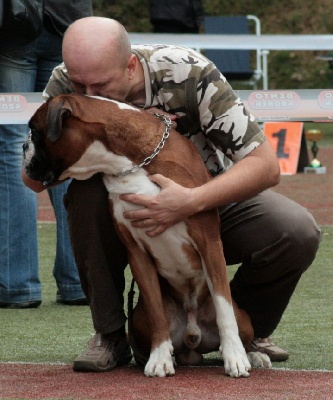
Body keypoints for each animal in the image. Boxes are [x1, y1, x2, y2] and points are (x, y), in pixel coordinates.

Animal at [22, 94, 270, 378]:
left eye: (36, 132)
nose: (23, 146)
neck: (132, 163)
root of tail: (193, 336)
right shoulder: (138, 254)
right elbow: (155, 310)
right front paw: (160, 358)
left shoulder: (209, 244)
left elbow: (223, 307)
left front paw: (234, 357)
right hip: (138, 322)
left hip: (244, 317)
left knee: (238, 322)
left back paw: (255, 353)